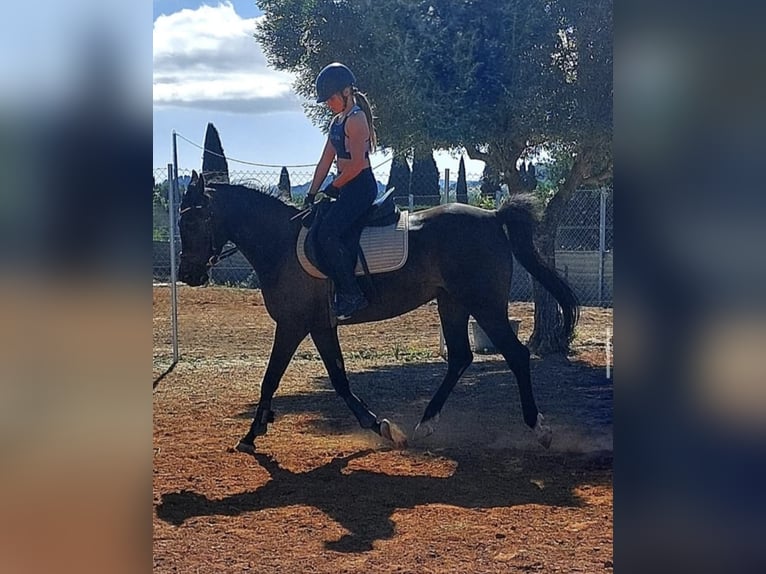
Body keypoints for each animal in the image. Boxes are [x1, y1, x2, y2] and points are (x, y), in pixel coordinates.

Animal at [177, 170, 578, 453]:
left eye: (192, 221)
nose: (187, 275)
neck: (281, 243)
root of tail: (494, 216)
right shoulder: (320, 326)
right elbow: (336, 379)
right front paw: (381, 427)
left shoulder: (294, 324)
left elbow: (273, 378)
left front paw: (250, 434)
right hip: (452, 303)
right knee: (460, 358)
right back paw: (426, 423)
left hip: (486, 305)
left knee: (516, 355)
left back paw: (539, 429)